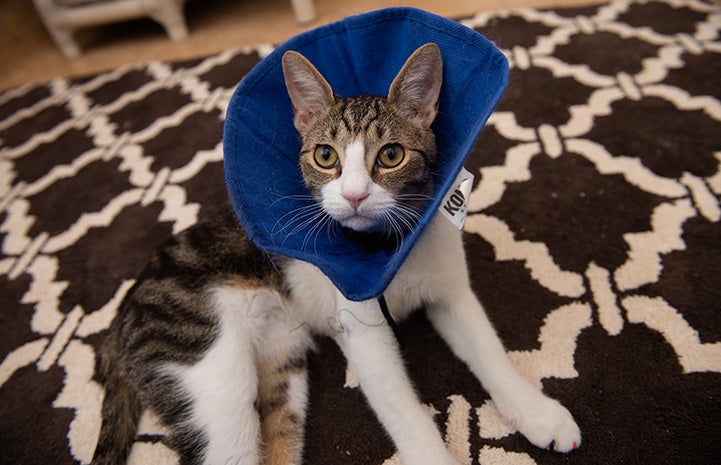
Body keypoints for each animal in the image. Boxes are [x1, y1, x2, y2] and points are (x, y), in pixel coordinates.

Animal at [91, 43, 580, 464]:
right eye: (326, 156)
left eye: (391, 154)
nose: (355, 195)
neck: (384, 246)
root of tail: (123, 309)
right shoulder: (364, 335)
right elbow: (407, 416)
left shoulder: (451, 293)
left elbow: (488, 350)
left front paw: (536, 411)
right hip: (208, 366)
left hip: (281, 361)